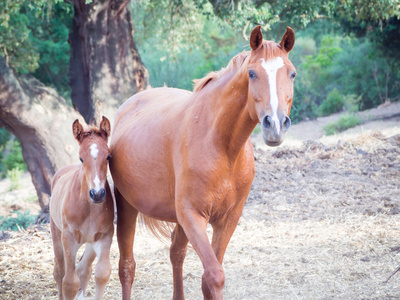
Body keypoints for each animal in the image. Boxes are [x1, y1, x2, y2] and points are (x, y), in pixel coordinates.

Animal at [49, 117, 113, 300]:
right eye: (81, 158)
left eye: (108, 156)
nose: (97, 194)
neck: (89, 209)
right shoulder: (69, 239)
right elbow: (69, 282)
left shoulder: (103, 237)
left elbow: (101, 274)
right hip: (56, 235)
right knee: (59, 271)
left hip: (89, 243)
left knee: (84, 269)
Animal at [111, 27, 296, 298]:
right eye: (252, 73)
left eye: (292, 73)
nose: (276, 124)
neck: (221, 146)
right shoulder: (193, 215)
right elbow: (215, 276)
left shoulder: (228, 218)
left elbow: (208, 278)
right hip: (127, 206)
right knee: (127, 267)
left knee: (176, 253)